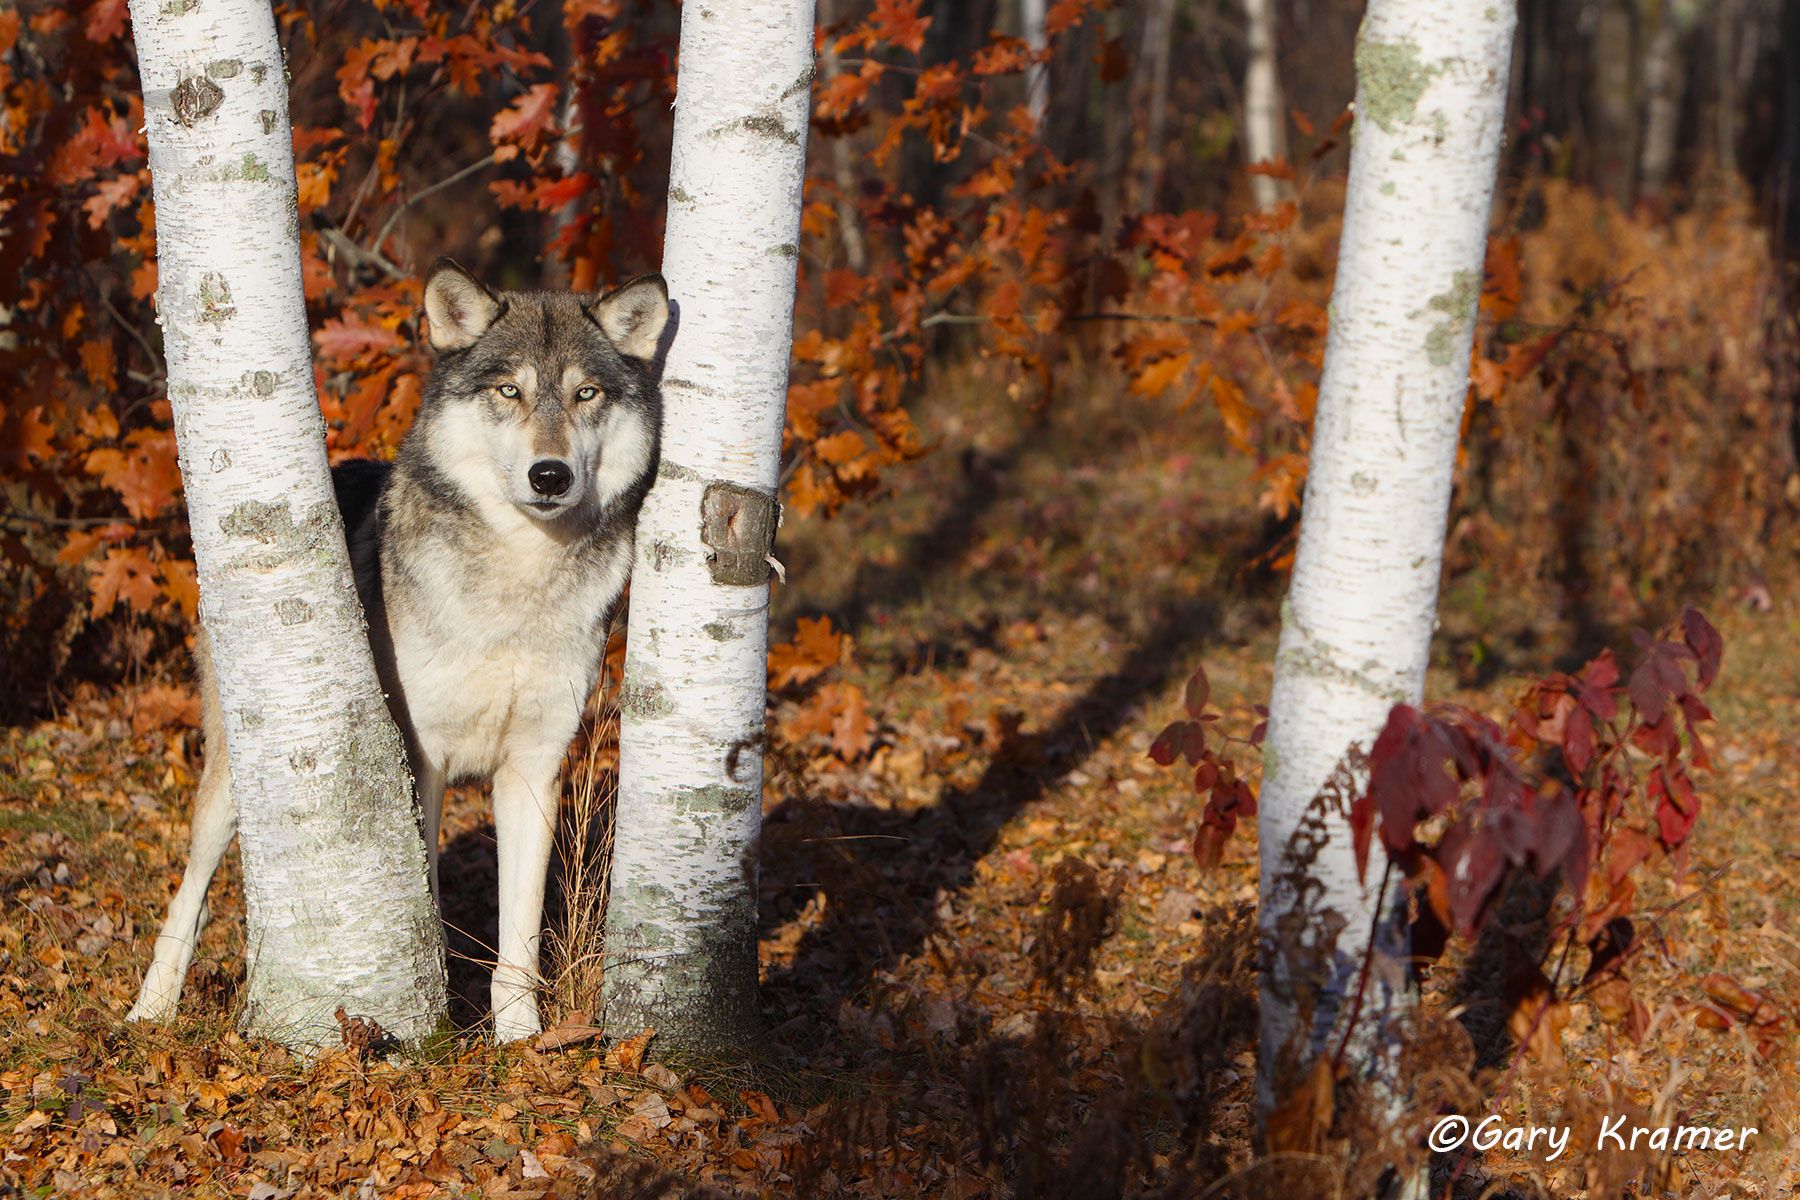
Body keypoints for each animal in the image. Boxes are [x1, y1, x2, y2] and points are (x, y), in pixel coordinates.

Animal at [127, 260, 670, 1042]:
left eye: (585, 394)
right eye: (510, 391)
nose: (550, 476)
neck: (517, 583)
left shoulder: (535, 767)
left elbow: (520, 929)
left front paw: (519, 1038)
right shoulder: (424, 760)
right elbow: (429, 900)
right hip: (230, 782)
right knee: (190, 891)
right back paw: (151, 1007)